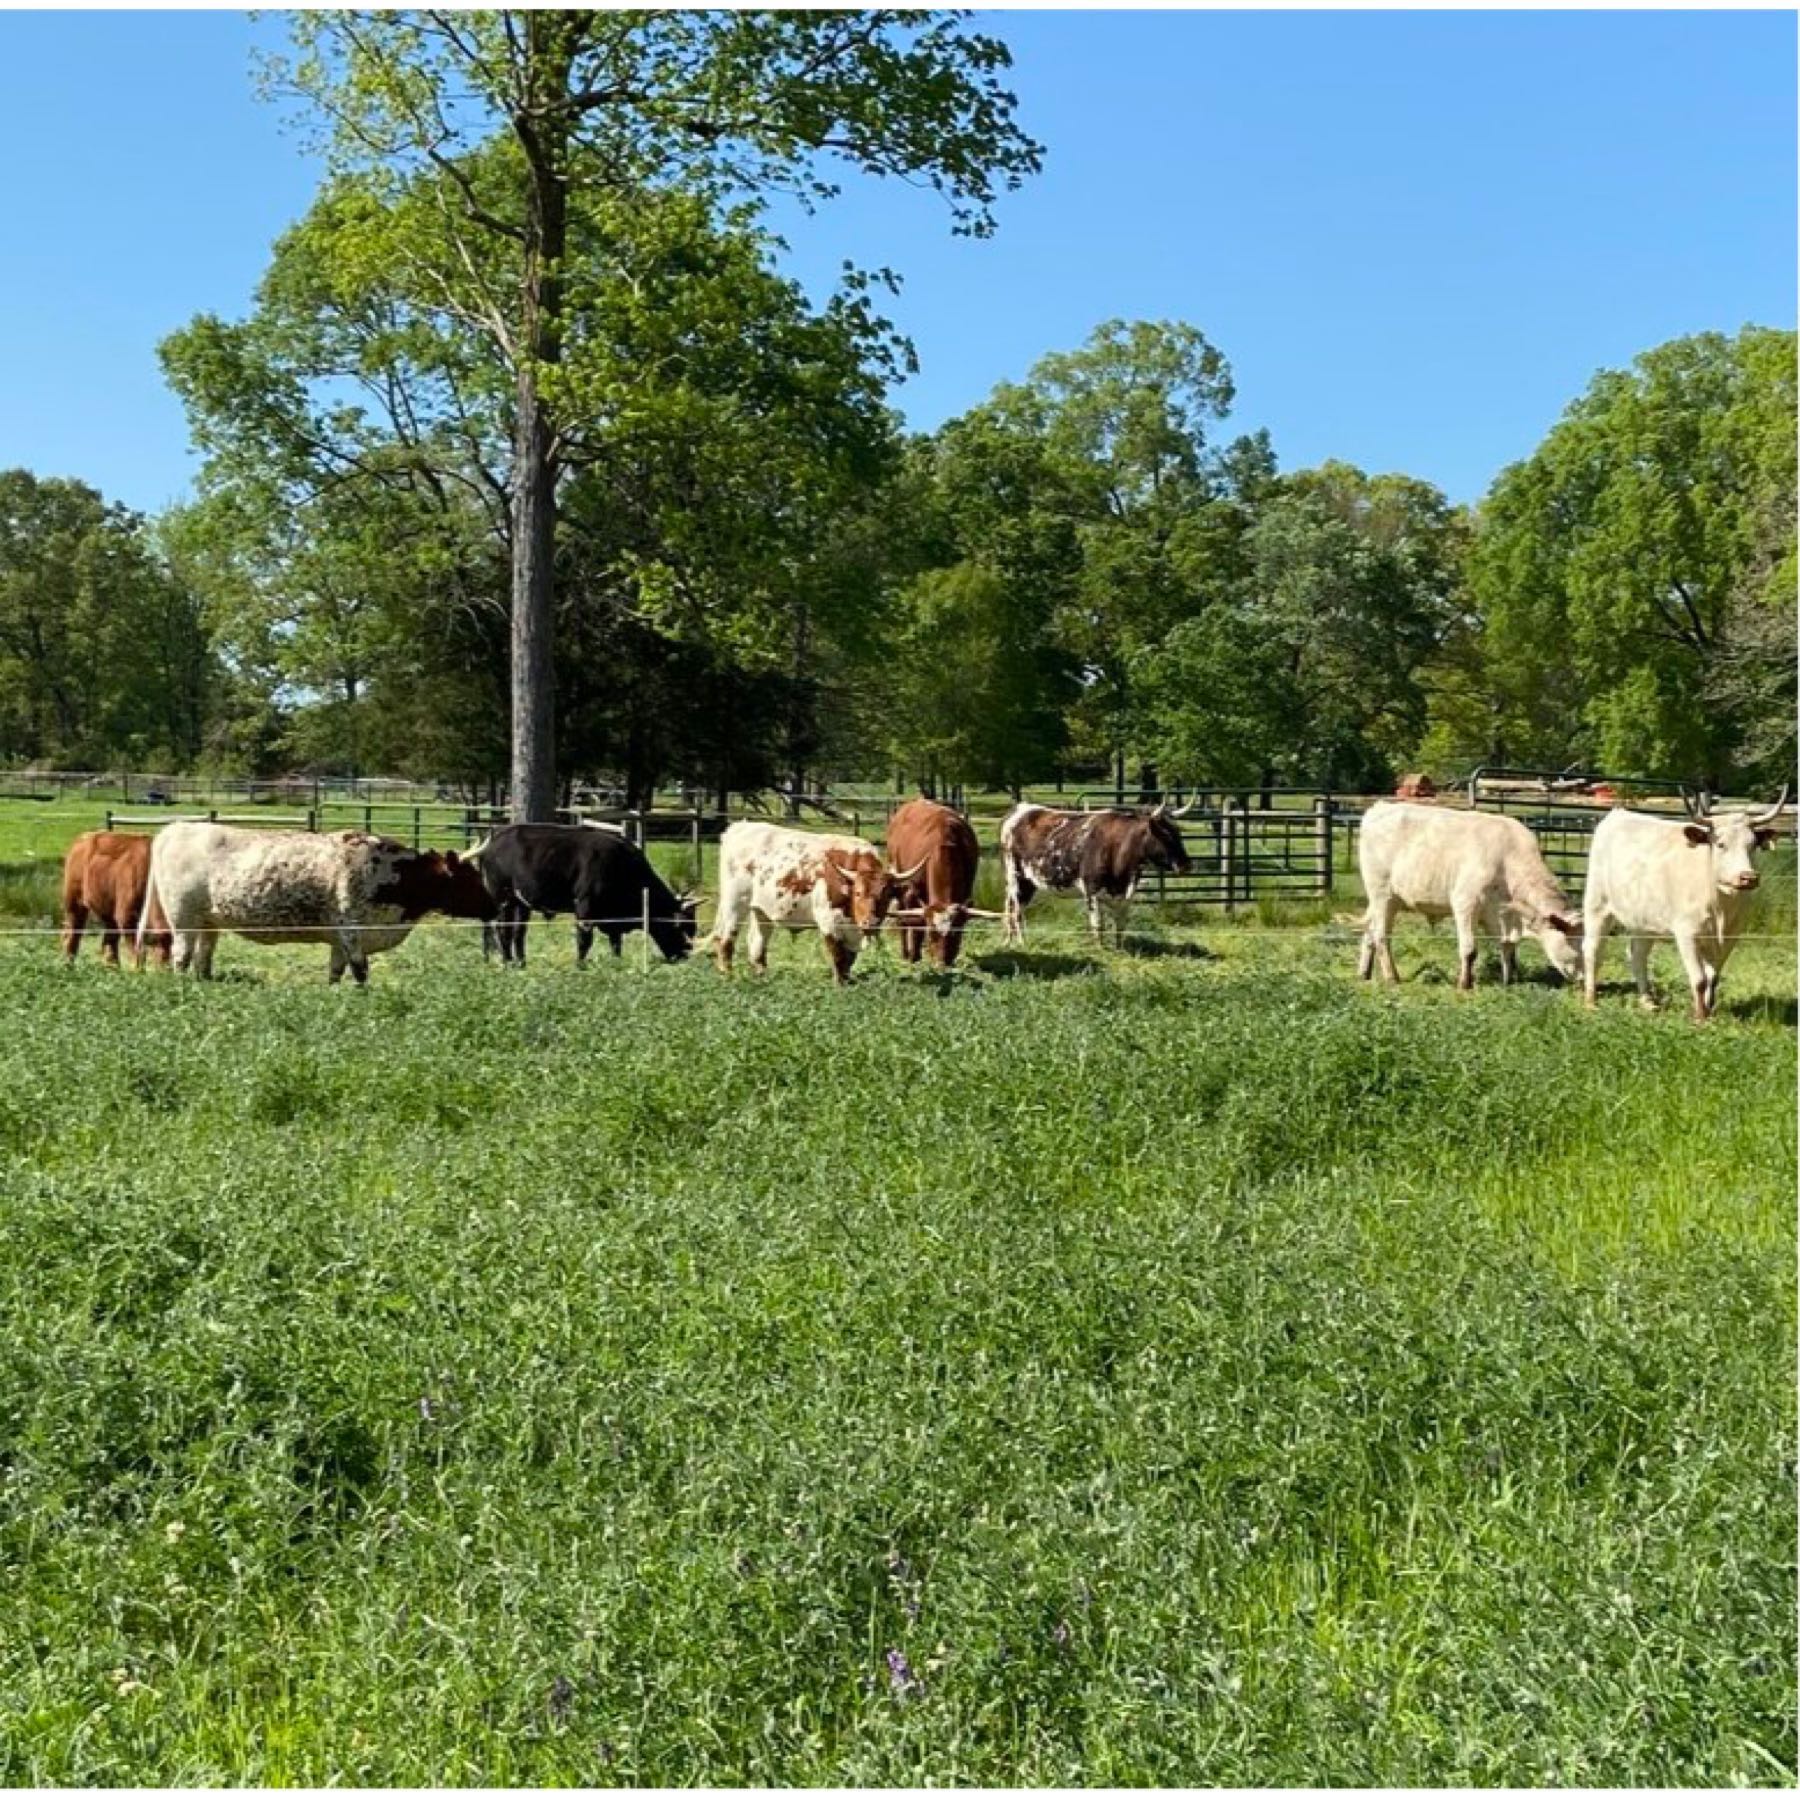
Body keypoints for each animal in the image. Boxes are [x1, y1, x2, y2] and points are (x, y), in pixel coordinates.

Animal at [62, 831, 170, 972]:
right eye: (161, 940)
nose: (167, 969)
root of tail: (85, 837)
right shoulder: (126, 915)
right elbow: (138, 950)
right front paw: (138, 971)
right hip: (74, 903)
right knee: (72, 934)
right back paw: (68, 964)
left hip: (108, 911)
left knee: (109, 940)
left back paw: (112, 968)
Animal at [141, 820, 493, 986]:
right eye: (470, 879)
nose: (494, 905)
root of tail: (175, 828)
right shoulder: (351, 931)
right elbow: (361, 972)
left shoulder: (340, 940)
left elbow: (336, 973)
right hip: (183, 917)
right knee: (182, 956)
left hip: (209, 921)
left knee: (203, 957)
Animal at [468, 824, 698, 972]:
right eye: (680, 927)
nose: (686, 955)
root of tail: (497, 835)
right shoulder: (585, 908)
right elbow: (584, 941)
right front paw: (580, 966)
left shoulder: (612, 920)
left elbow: (616, 943)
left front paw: (617, 964)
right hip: (502, 898)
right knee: (502, 930)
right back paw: (507, 963)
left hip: (521, 903)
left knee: (518, 932)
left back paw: (521, 964)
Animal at [709, 820, 921, 986]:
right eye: (858, 893)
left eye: (886, 895)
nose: (870, 922)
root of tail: (739, 827)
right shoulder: (828, 920)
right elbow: (837, 954)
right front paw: (839, 985)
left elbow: (849, 959)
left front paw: (847, 981)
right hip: (735, 903)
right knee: (726, 939)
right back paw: (728, 975)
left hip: (762, 910)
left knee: (756, 944)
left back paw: (762, 976)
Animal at [1353, 806, 1584, 993]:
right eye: (1578, 946)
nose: (1585, 980)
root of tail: (1380, 806)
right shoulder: (1465, 903)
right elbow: (1470, 949)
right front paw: (1465, 985)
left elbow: (1508, 951)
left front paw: (1509, 981)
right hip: (1383, 896)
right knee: (1381, 937)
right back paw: (1392, 978)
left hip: (1380, 902)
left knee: (1369, 934)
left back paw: (1363, 974)